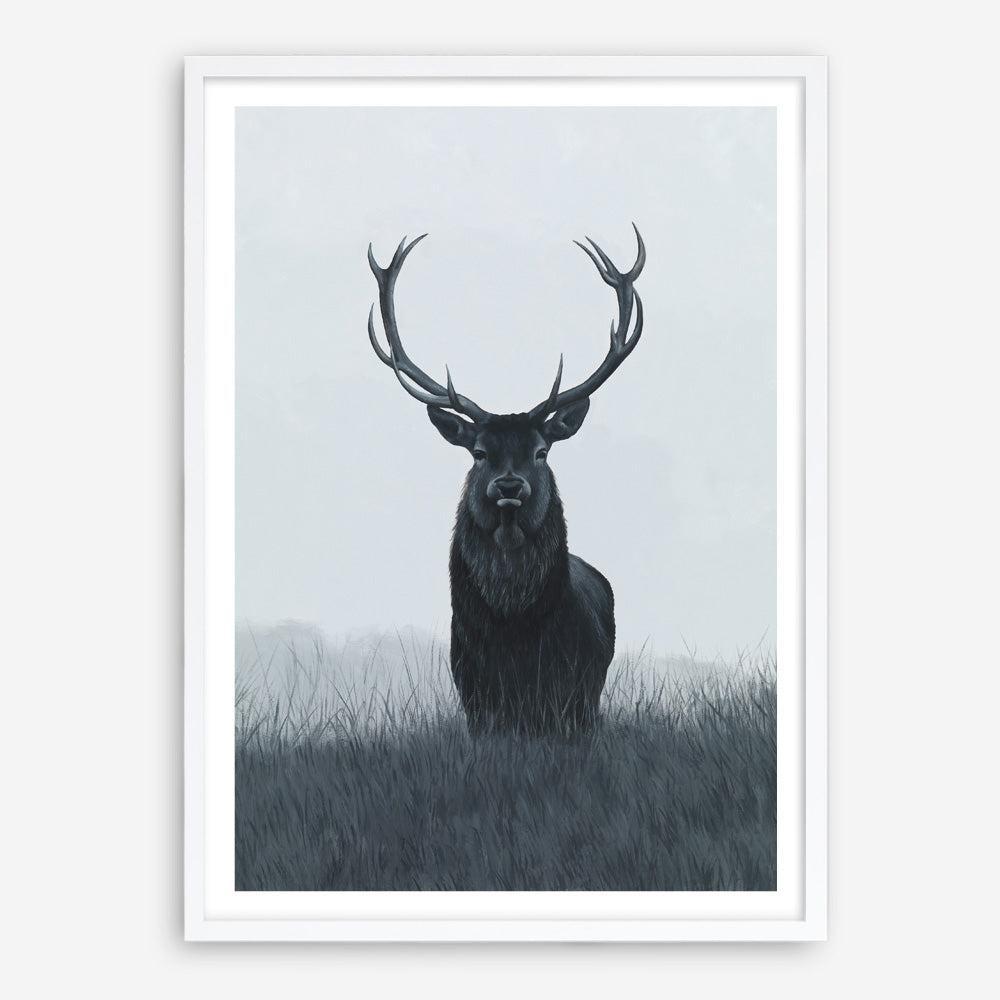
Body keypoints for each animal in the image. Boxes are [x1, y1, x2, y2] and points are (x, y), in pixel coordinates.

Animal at [366, 226, 646, 735]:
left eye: (541, 450)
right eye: (479, 453)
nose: (510, 487)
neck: (515, 636)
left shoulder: (575, 697)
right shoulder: (475, 695)